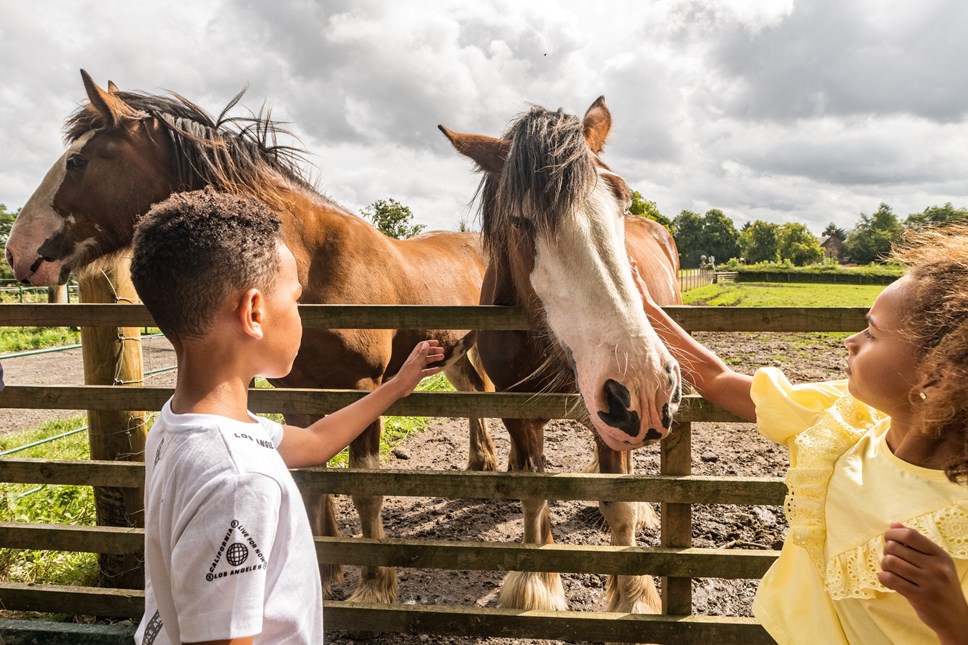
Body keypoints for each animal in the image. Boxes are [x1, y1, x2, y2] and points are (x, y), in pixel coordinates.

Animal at [3, 71, 496, 604]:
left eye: (77, 161)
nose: (16, 252)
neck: (313, 266)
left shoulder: (362, 388)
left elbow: (365, 489)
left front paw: (374, 587)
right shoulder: (300, 393)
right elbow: (312, 481)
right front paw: (326, 573)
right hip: (452, 356)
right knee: (477, 395)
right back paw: (483, 463)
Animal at [440, 97, 680, 612]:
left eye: (623, 200)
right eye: (520, 220)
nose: (645, 385)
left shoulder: (612, 415)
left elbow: (620, 506)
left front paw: (633, 596)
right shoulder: (515, 409)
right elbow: (535, 493)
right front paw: (535, 586)